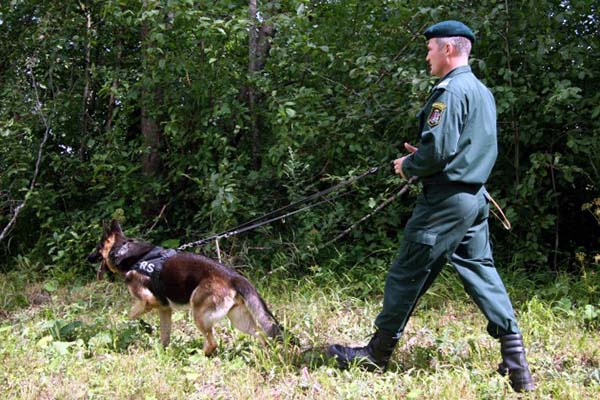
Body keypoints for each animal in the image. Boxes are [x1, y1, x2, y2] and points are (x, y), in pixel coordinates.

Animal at [88, 219, 284, 356]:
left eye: (96, 248)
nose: (87, 258)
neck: (124, 252)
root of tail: (234, 277)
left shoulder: (148, 301)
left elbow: (129, 315)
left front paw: (125, 327)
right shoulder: (164, 309)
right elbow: (164, 335)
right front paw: (162, 352)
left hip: (198, 312)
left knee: (212, 343)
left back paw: (199, 355)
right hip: (239, 320)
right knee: (262, 334)